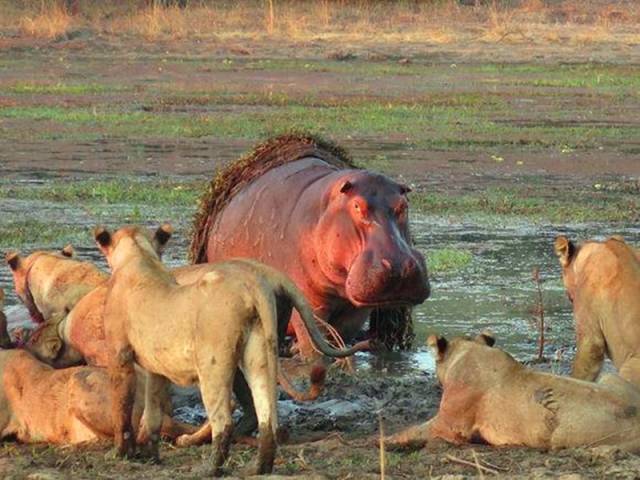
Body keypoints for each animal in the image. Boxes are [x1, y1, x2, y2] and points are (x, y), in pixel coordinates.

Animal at [190, 133, 430, 358]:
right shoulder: (310, 306)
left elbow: (339, 342)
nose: (401, 266)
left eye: (403, 205)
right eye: (356, 206)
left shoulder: (355, 312)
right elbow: (314, 350)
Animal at [382, 334, 640, 450]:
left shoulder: (450, 425)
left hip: (562, 436)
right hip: (610, 377)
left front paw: (383, 440)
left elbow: (413, 430)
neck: (469, 351)